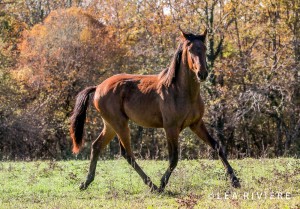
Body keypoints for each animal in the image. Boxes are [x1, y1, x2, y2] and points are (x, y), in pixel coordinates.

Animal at [69, 28, 240, 193]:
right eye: (190, 49)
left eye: (204, 48)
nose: (202, 74)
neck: (181, 91)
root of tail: (98, 87)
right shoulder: (171, 128)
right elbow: (174, 158)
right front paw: (162, 184)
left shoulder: (196, 124)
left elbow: (217, 146)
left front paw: (235, 181)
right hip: (120, 124)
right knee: (127, 153)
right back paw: (152, 186)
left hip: (110, 125)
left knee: (97, 146)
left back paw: (86, 182)